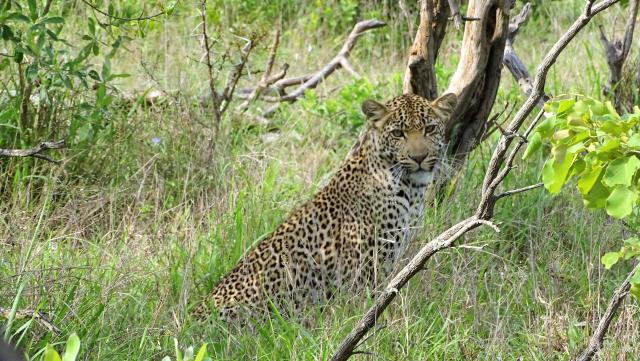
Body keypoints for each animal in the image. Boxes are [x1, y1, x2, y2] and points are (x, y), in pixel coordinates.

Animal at [192, 93, 458, 320]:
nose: (419, 157)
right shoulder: (363, 267)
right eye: (398, 133)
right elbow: (366, 306)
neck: (410, 188)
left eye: (429, 129)